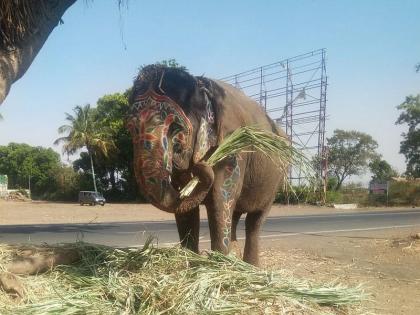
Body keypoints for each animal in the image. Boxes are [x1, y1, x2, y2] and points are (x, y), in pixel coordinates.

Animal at [127, 66, 286, 266]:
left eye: (176, 127)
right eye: (130, 128)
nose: (200, 165)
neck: (202, 86)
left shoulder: (232, 149)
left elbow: (220, 201)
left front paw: (219, 264)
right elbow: (185, 210)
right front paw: (190, 261)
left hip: (276, 182)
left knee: (254, 221)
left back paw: (251, 266)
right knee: (235, 214)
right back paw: (236, 259)